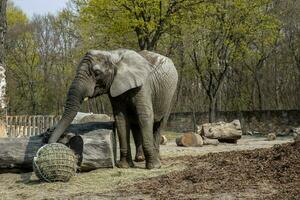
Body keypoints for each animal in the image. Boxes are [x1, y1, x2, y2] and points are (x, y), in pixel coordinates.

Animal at [47, 49, 178, 170]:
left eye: (97, 73)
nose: (50, 141)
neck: (113, 55)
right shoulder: (115, 86)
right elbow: (121, 118)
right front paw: (124, 166)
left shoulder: (143, 85)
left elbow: (144, 116)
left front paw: (154, 167)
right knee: (135, 125)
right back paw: (140, 159)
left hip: (170, 94)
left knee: (160, 124)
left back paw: (156, 159)